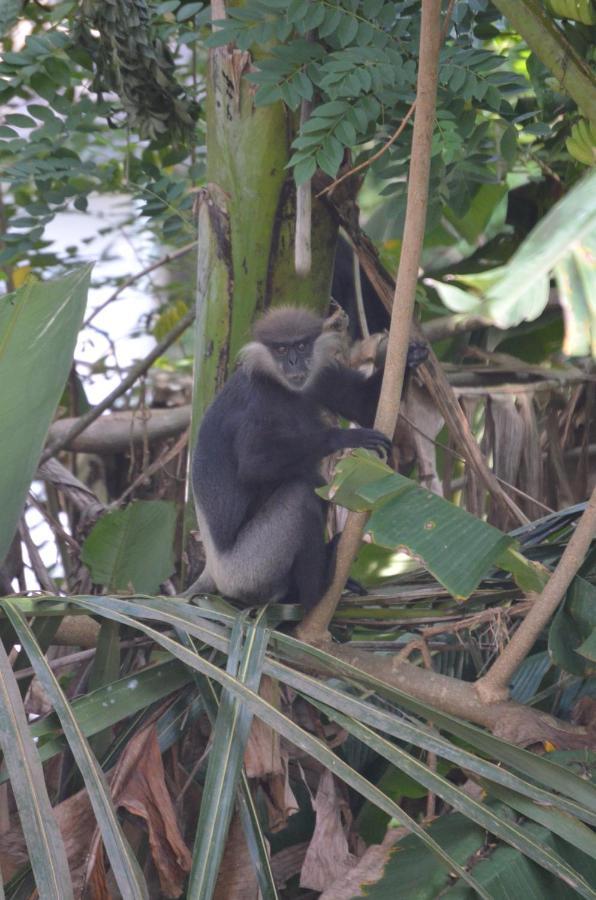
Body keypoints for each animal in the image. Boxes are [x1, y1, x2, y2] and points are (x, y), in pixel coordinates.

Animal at [189, 306, 416, 608]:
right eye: (281, 349)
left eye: (300, 345)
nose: (294, 362)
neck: (283, 388)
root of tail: (212, 571)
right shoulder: (257, 401)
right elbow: (253, 464)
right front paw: (343, 438)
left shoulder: (322, 376)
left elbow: (365, 407)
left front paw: (412, 357)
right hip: (249, 569)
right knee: (302, 490)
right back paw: (317, 590)